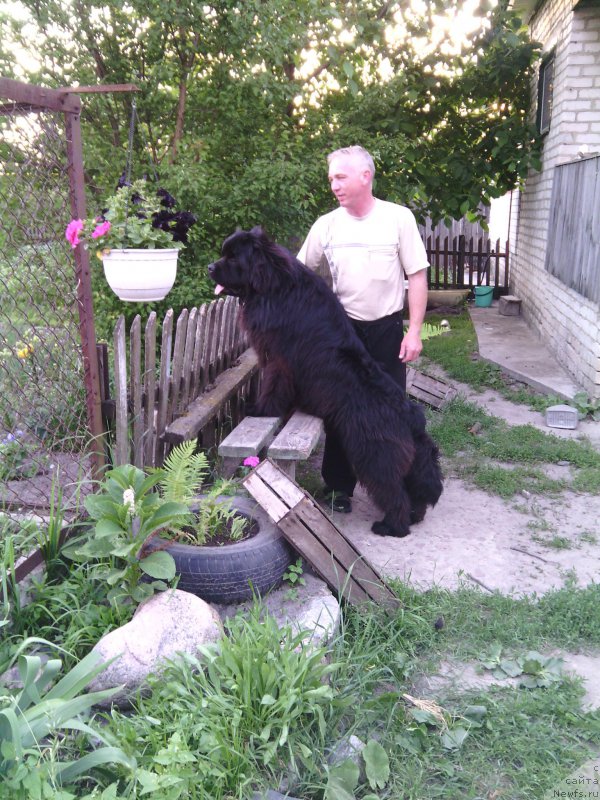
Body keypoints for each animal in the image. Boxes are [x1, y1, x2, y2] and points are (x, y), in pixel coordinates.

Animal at [209, 225, 442, 536]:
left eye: (234, 257)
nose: (210, 267)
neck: (273, 286)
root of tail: (412, 418)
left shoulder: (278, 358)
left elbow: (272, 385)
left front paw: (259, 410)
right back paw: (414, 517)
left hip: (373, 453)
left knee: (393, 491)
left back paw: (391, 526)